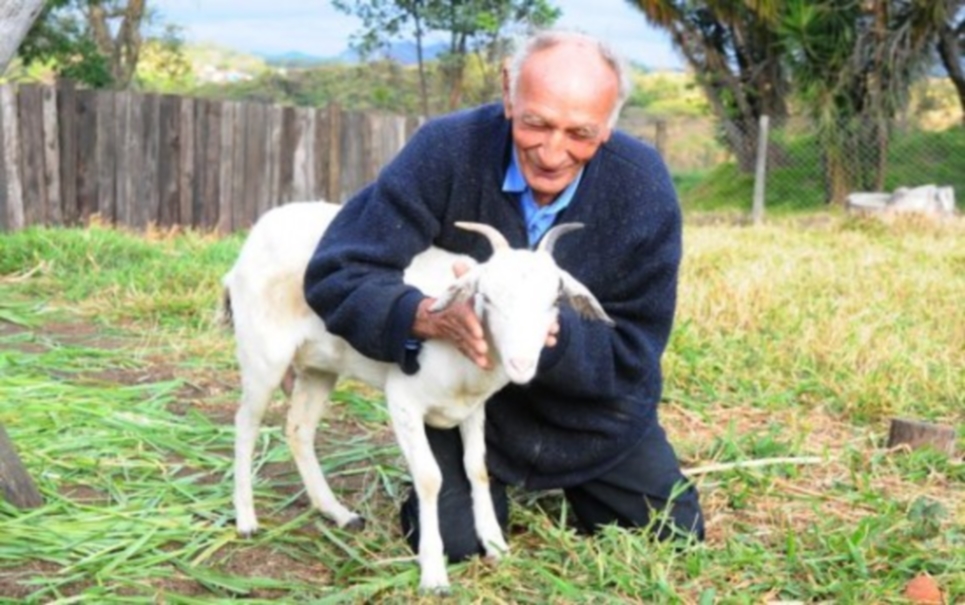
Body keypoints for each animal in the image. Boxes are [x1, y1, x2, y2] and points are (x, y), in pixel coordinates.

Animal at [224, 199, 612, 588]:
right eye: (485, 297)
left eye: (555, 301)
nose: (521, 363)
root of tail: (261, 228)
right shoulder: (403, 402)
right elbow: (429, 478)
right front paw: (434, 573)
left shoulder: (473, 409)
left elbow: (477, 468)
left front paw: (495, 546)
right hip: (263, 356)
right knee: (245, 425)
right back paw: (246, 520)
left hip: (320, 367)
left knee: (298, 430)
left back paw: (338, 513)